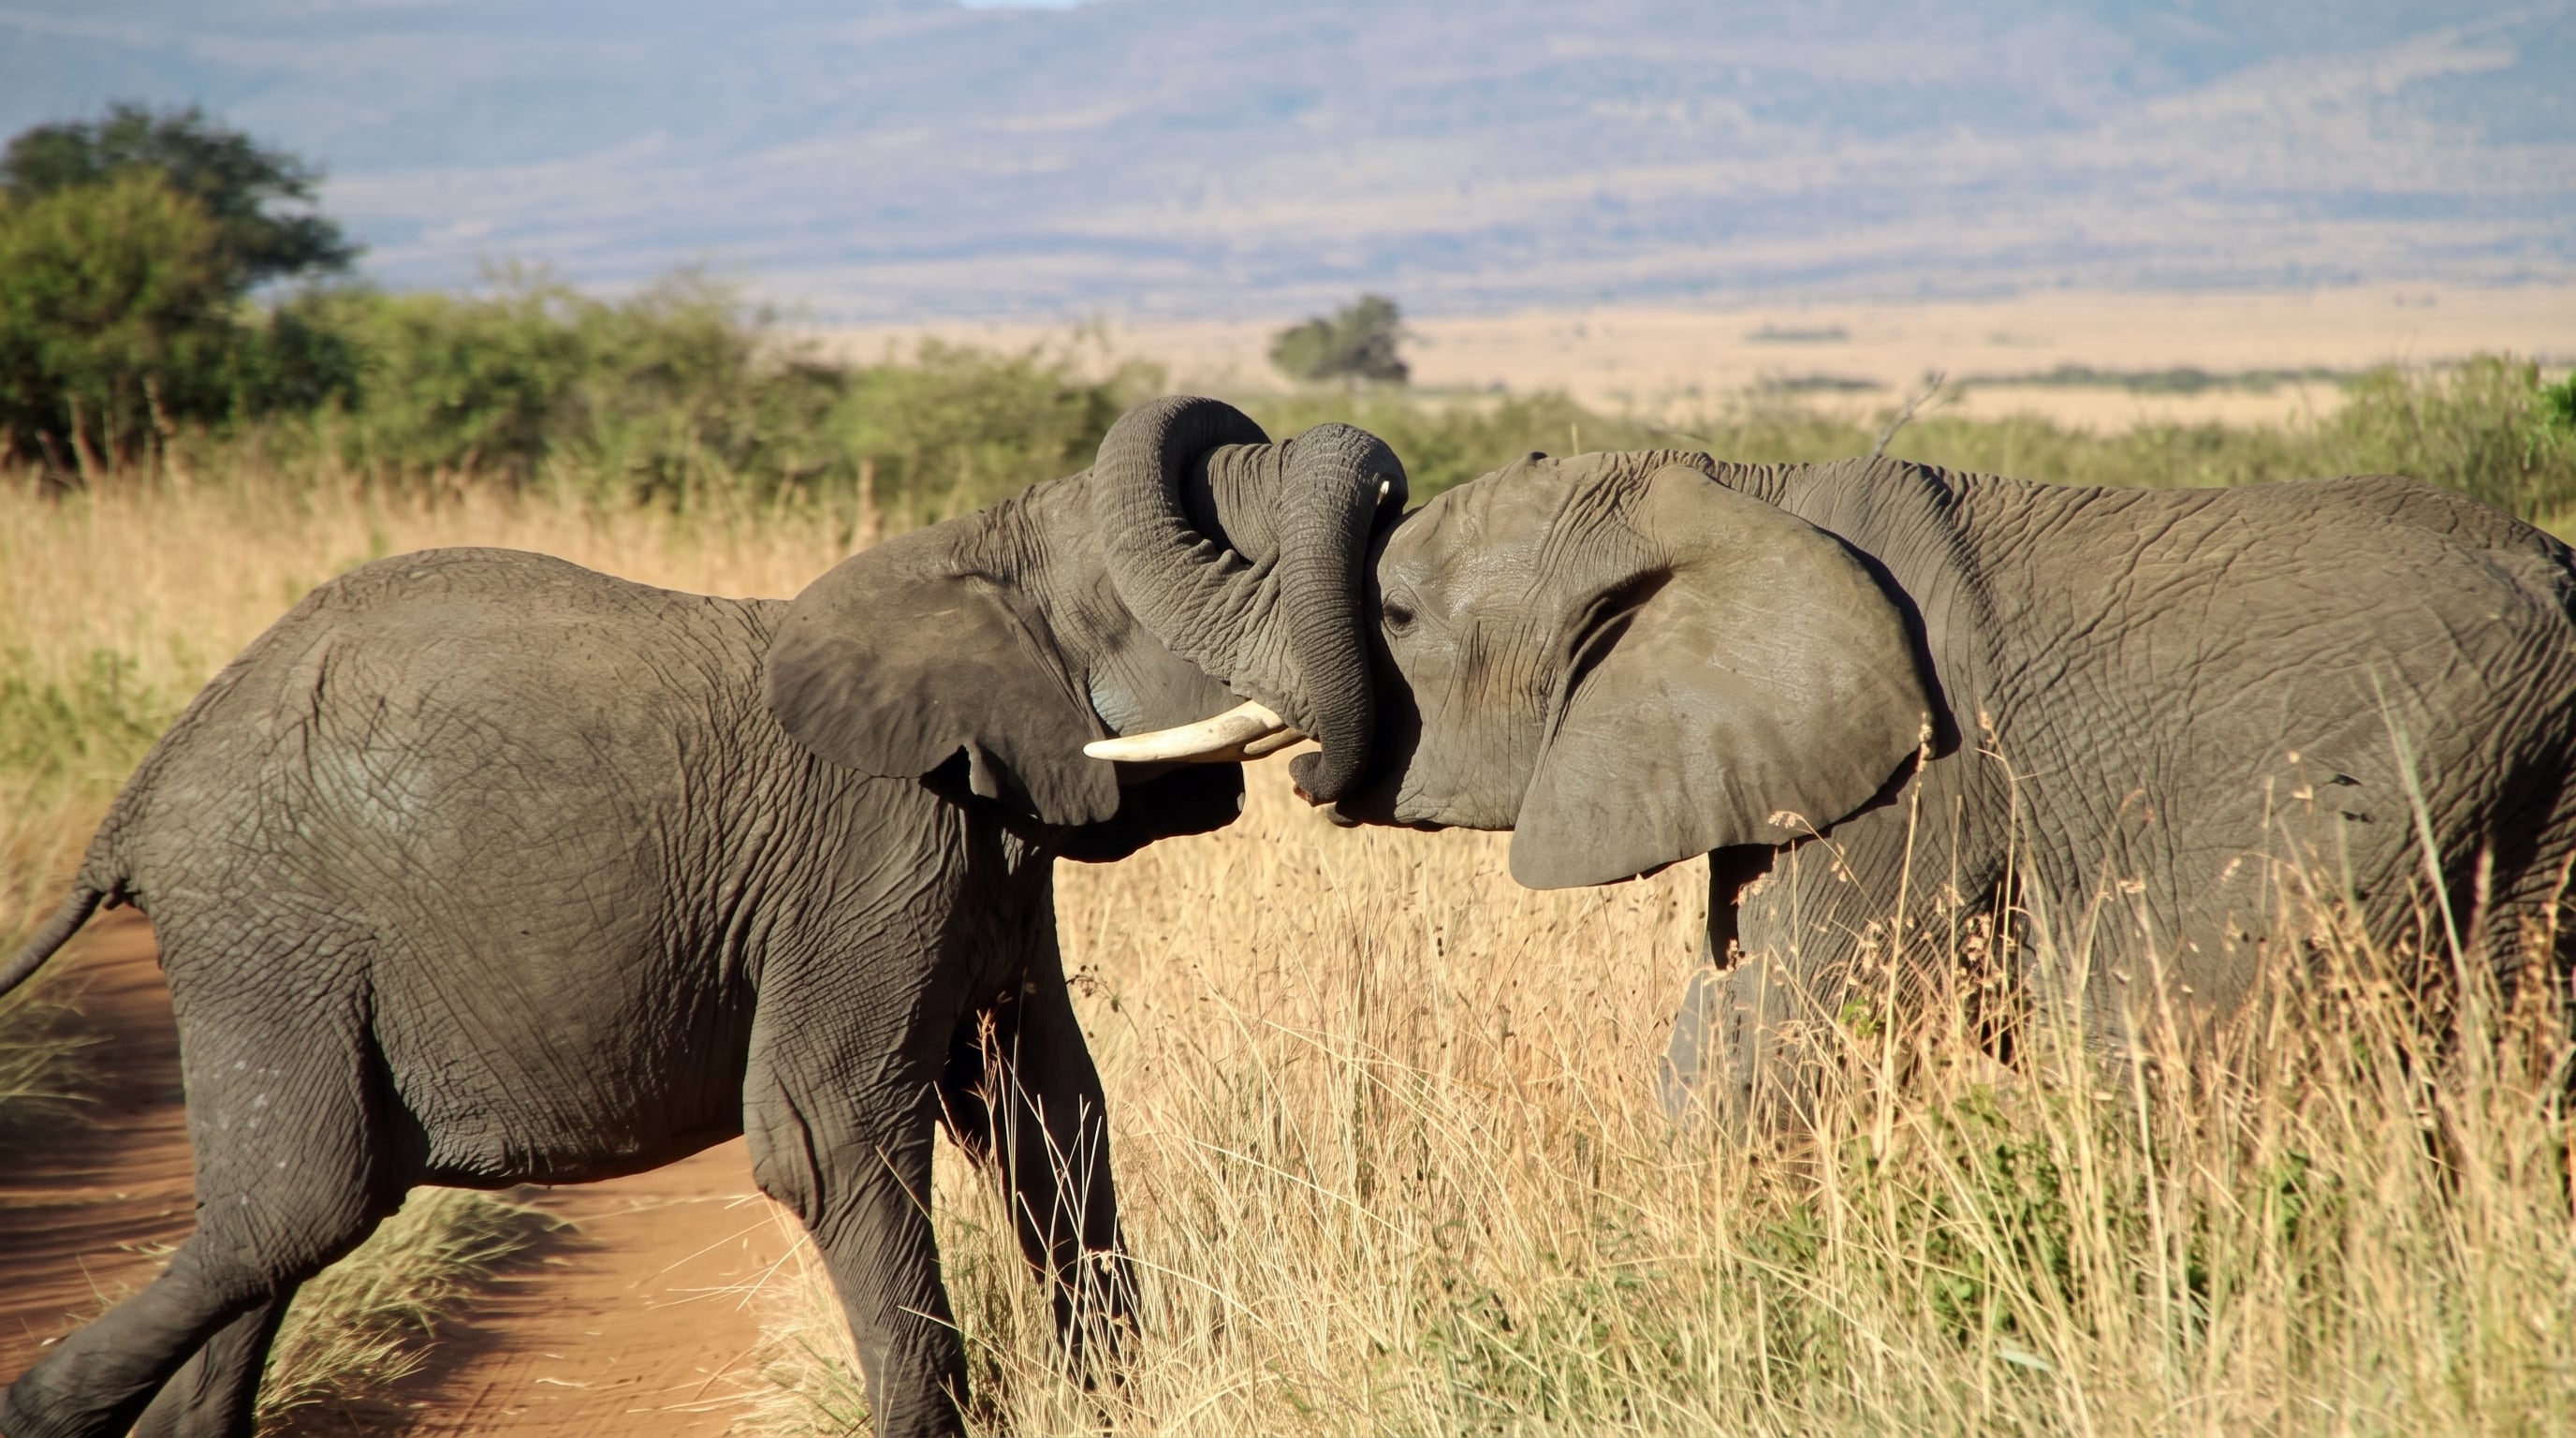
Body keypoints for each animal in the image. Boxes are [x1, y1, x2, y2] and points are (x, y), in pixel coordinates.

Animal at [0, 395, 1406, 1438]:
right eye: (1214, 567)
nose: (1326, 779)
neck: (966, 554)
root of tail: (133, 805)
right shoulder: (870, 848)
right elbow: (827, 1128)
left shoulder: (991, 854)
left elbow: (1047, 1111)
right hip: (271, 925)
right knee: (303, 1204)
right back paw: (35, 1410)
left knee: (272, 1225)